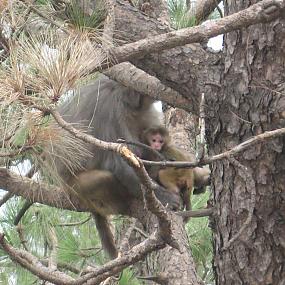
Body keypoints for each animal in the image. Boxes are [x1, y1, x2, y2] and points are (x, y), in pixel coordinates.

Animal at [54, 74, 179, 258]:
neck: (131, 103)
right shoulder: (109, 108)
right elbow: (118, 164)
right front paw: (165, 197)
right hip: (76, 187)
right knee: (105, 178)